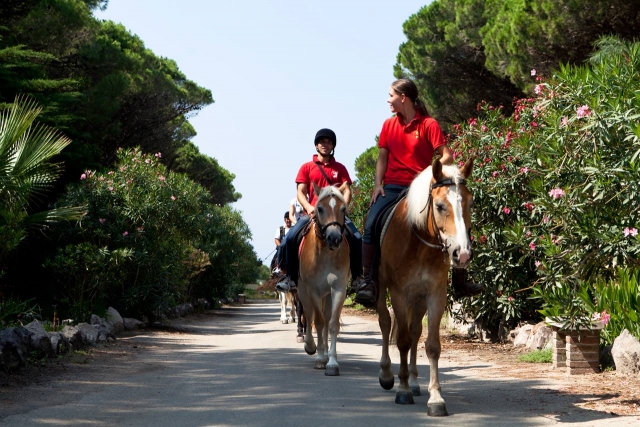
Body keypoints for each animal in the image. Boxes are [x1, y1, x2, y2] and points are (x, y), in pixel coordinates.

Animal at [296, 181, 350, 376]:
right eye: (319, 208)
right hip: (302, 291)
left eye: (343, 208)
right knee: (308, 314)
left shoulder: (339, 288)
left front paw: (332, 362)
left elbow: (332, 323)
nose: (334, 238)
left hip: (327, 294)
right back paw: (311, 346)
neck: (326, 252)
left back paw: (325, 353)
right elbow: (317, 321)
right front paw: (319, 359)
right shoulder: (313, 289)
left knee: (326, 319)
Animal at [376, 158, 474, 416]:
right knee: (385, 322)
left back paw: (414, 381)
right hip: (382, 290)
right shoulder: (398, 293)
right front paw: (402, 391)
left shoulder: (435, 295)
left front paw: (436, 398)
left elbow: (431, 345)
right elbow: (401, 340)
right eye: (439, 206)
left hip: (418, 300)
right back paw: (387, 374)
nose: (462, 254)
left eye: (470, 203)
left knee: (414, 331)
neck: (418, 242)